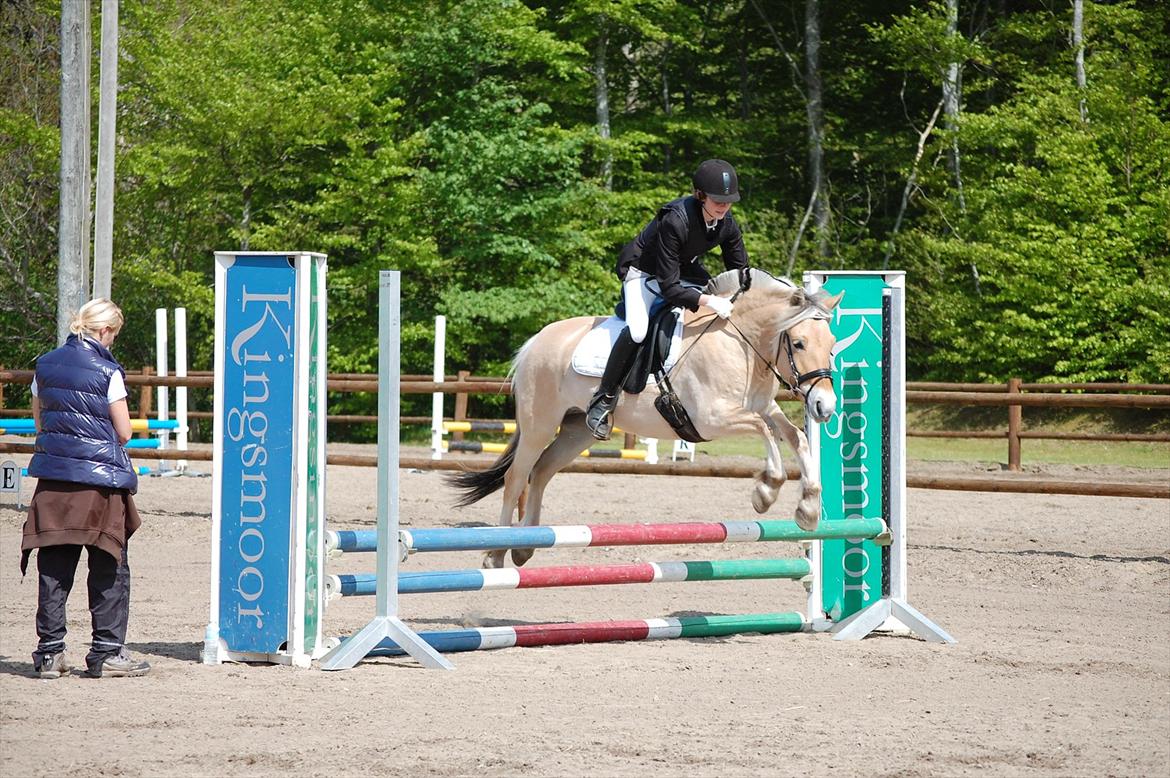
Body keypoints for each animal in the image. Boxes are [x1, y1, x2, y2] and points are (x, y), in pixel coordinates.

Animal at [446, 270, 842, 568]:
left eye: (832, 345)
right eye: (799, 343)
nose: (824, 407)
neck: (739, 343)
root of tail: (536, 340)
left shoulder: (762, 406)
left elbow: (794, 436)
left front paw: (808, 508)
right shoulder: (712, 419)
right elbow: (765, 432)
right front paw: (766, 490)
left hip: (577, 431)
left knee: (541, 471)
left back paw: (526, 546)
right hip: (539, 424)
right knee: (516, 478)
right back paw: (496, 554)